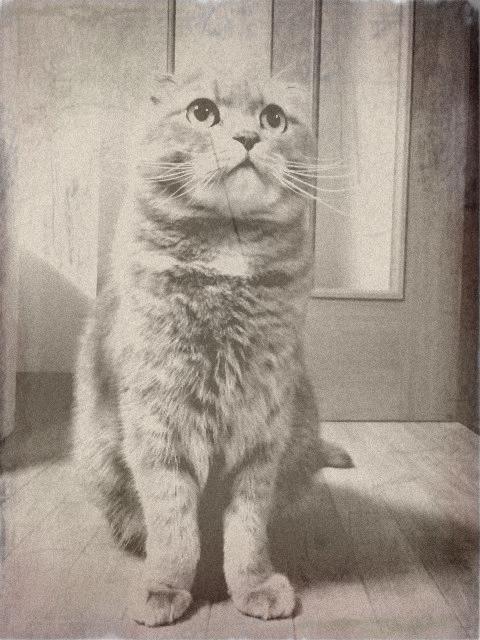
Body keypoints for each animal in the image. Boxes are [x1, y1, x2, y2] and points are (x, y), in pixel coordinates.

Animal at [73, 70, 352, 627]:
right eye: (202, 112)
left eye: (273, 117)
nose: (249, 137)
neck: (227, 266)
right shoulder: (159, 423)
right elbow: (173, 527)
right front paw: (165, 586)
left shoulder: (262, 427)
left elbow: (247, 530)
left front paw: (254, 586)